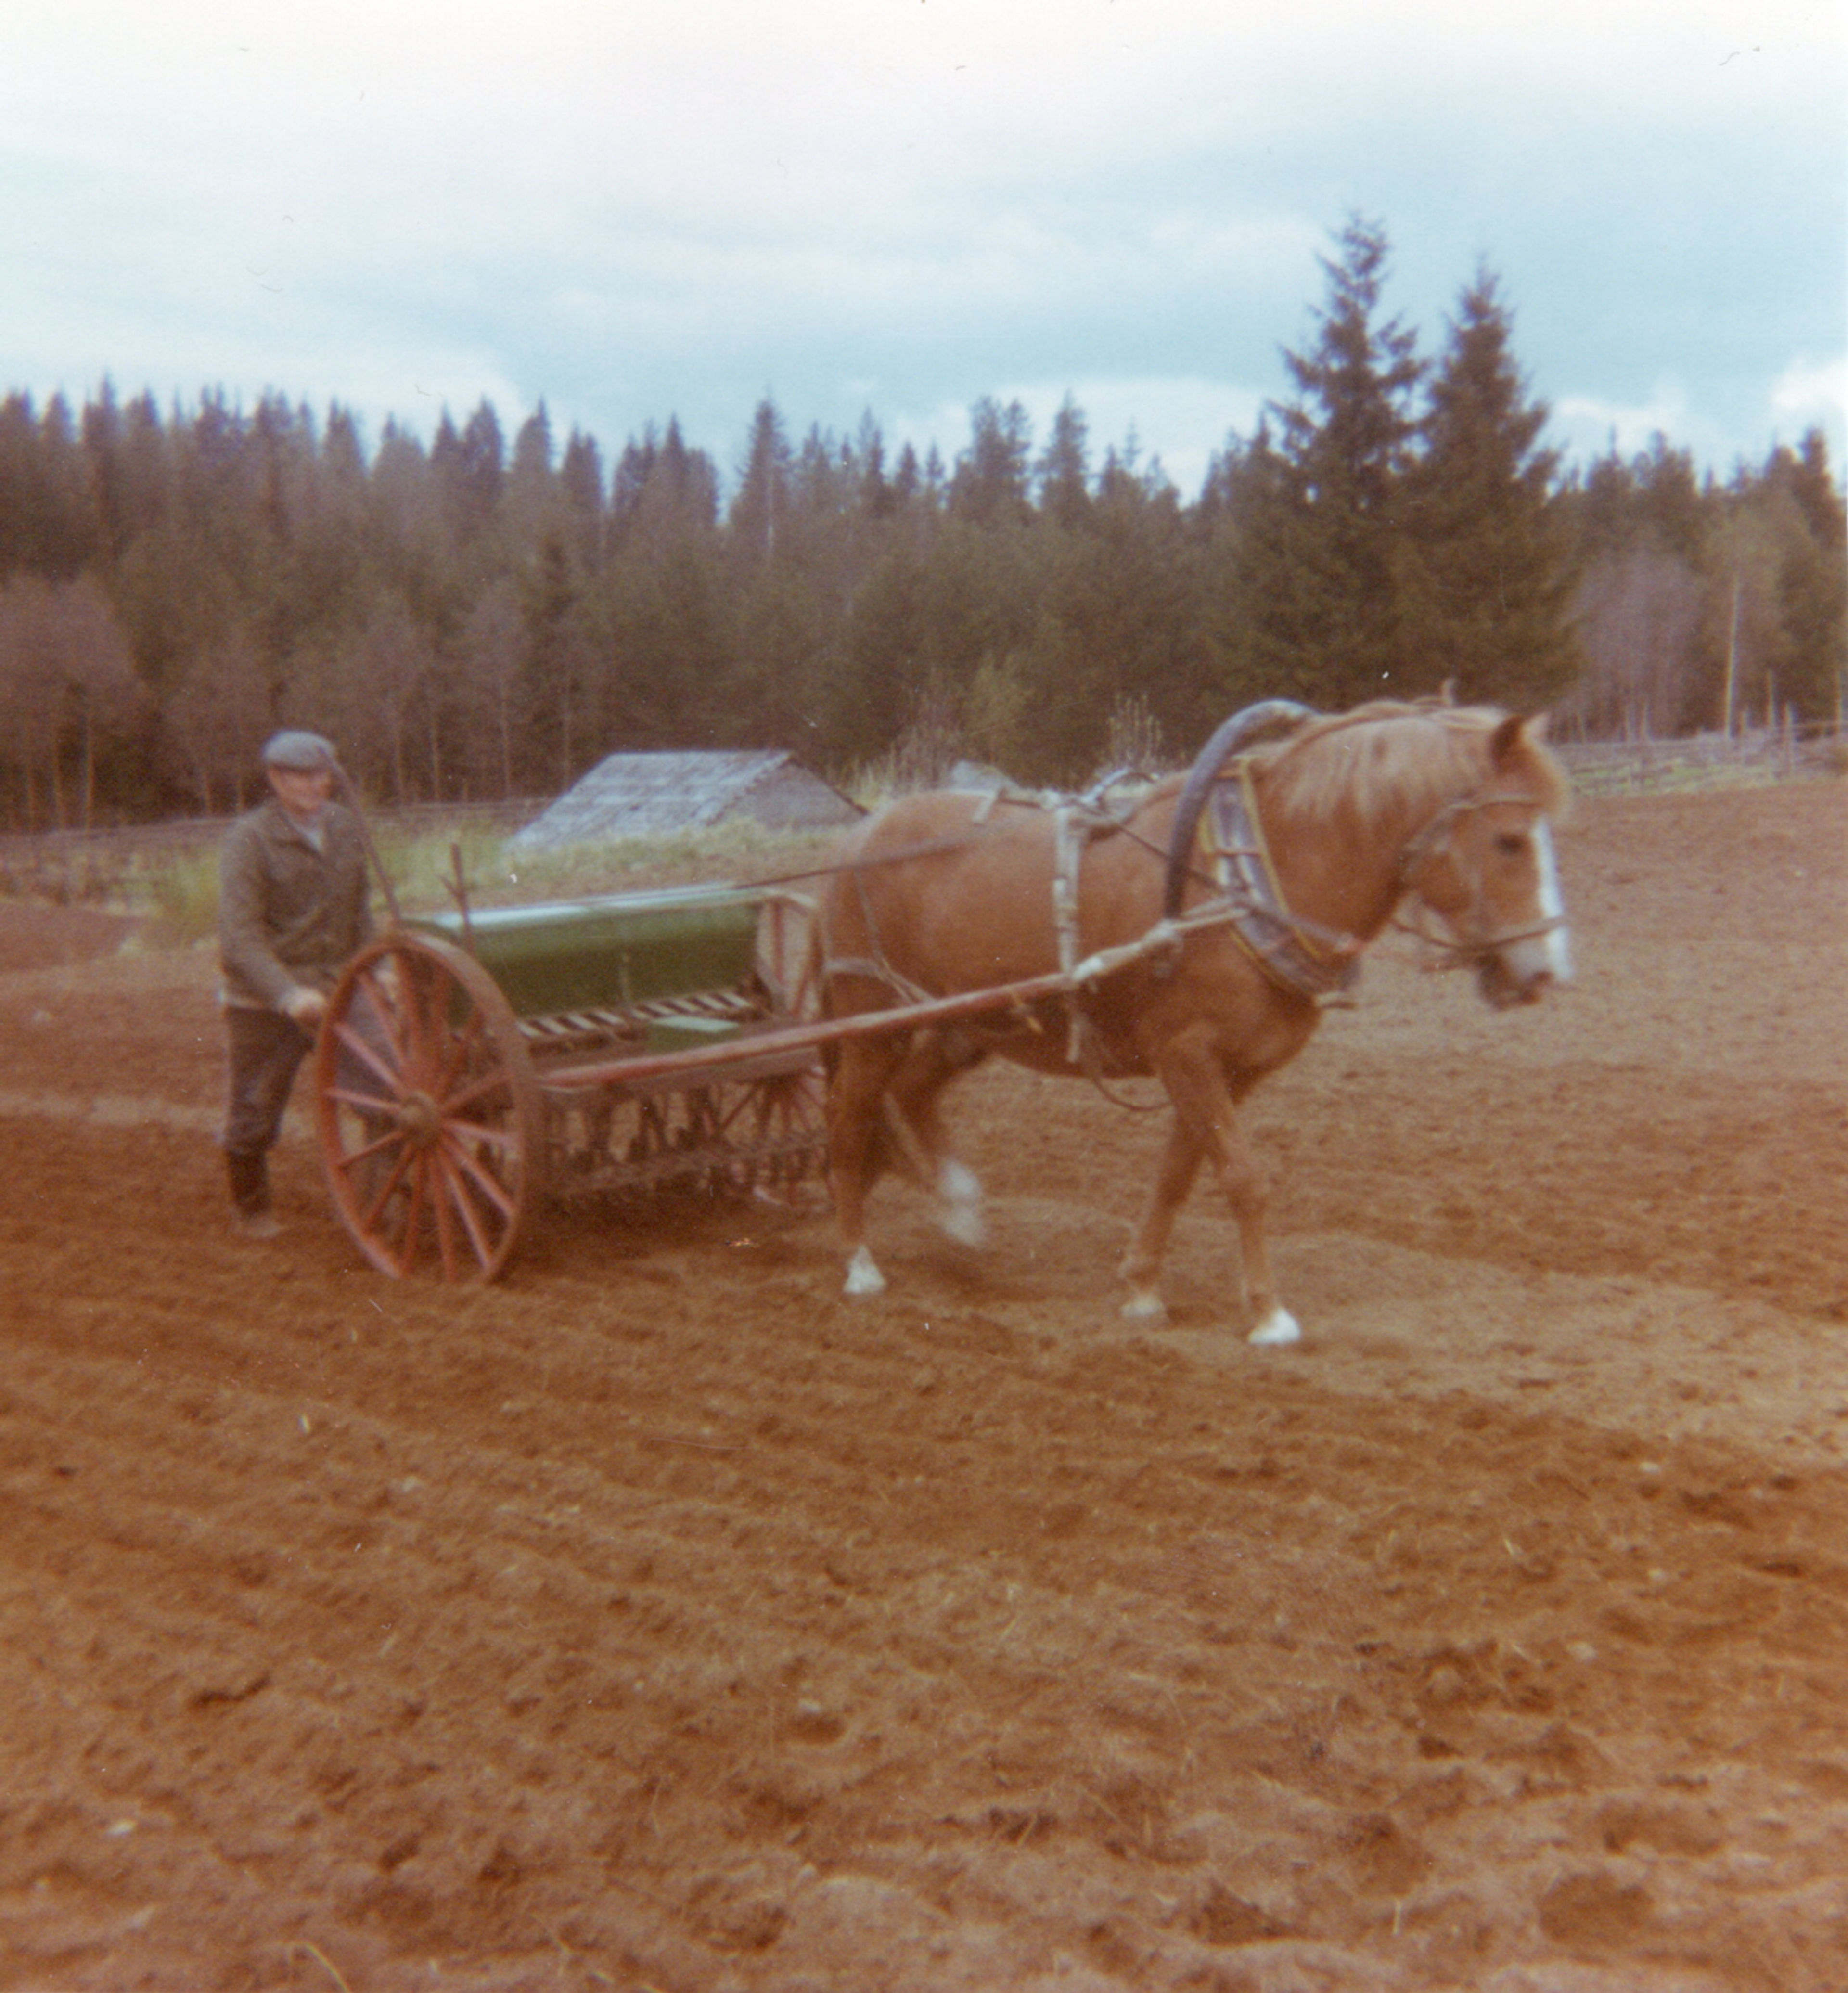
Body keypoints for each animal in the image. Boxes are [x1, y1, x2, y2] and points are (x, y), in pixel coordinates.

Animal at [817, 697, 1571, 1339]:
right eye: (1509, 841)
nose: (1548, 973)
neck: (1252, 878)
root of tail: (856, 837)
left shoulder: (1229, 1069)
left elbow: (1178, 1174)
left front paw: (1142, 1286)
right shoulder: (1187, 1054)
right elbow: (1242, 1177)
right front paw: (1268, 1313)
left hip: (972, 1023)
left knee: (911, 1093)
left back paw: (961, 1215)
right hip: (870, 1022)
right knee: (849, 1123)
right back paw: (858, 1262)